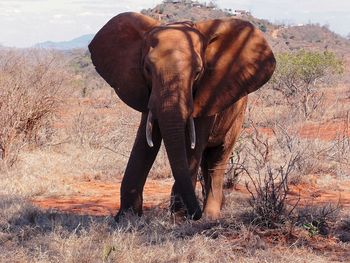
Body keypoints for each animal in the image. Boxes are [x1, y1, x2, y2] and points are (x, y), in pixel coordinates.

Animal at [88, 11, 276, 221]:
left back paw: (210, 215)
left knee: (218, 157)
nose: (195, 215)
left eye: (198, 72)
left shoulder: (207, 95)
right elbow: (145, 142)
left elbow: (191, 144)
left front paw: (178, 217)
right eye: (147, 69)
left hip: (238, 114)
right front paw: (126, 218)